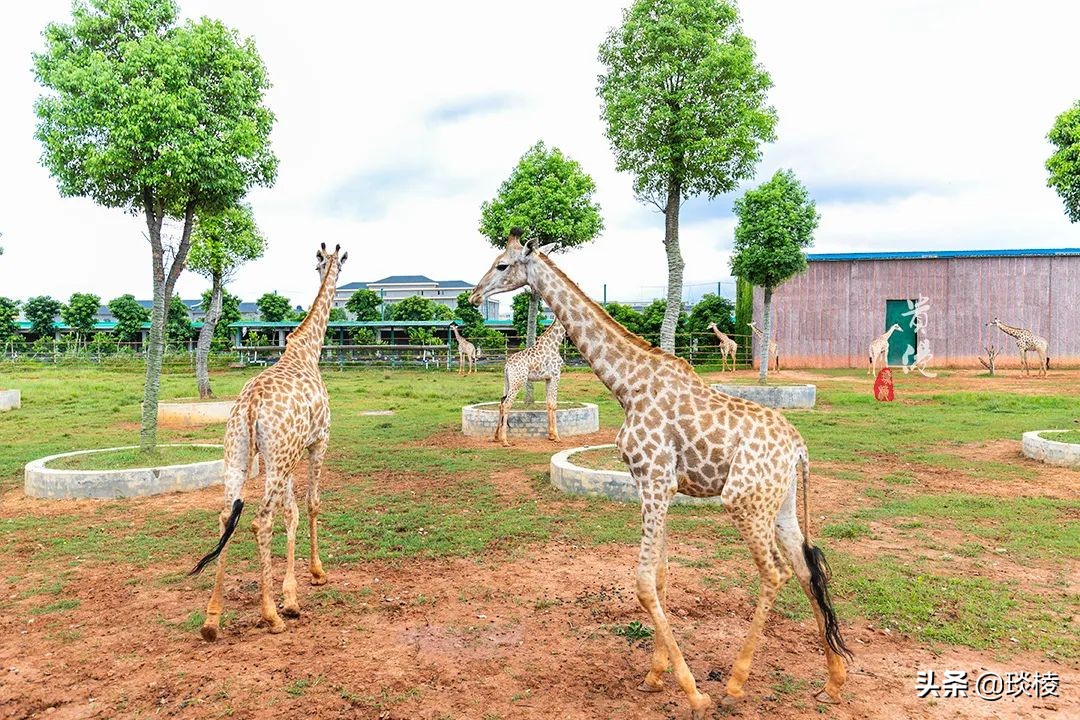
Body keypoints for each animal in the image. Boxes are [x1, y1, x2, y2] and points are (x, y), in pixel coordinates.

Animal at [187, 243, 347, 643]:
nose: (328, 268)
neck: (307, 351)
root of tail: (251, 405)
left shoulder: (290, 455)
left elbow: (291, 513)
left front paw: (291, 595)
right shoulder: (317, 442)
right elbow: (310, 504)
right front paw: (314, 575)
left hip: (237, 454)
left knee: (226, 516)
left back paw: (211, 620)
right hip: (275, 458)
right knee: (260, 521)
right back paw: (270, 615)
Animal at [470, 231, 851, 716]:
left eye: (502, 265)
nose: (473, 295)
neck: (627, 386)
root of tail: (798, 448)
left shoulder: (655, 479)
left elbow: (644, 583)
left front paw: (692, 692)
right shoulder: (656, 486)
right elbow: (664, 577)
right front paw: (655, 675)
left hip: (743, 501)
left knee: (775, 573)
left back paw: (735, 683)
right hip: (777, 504)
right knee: (806, 571)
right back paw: (834, 682)